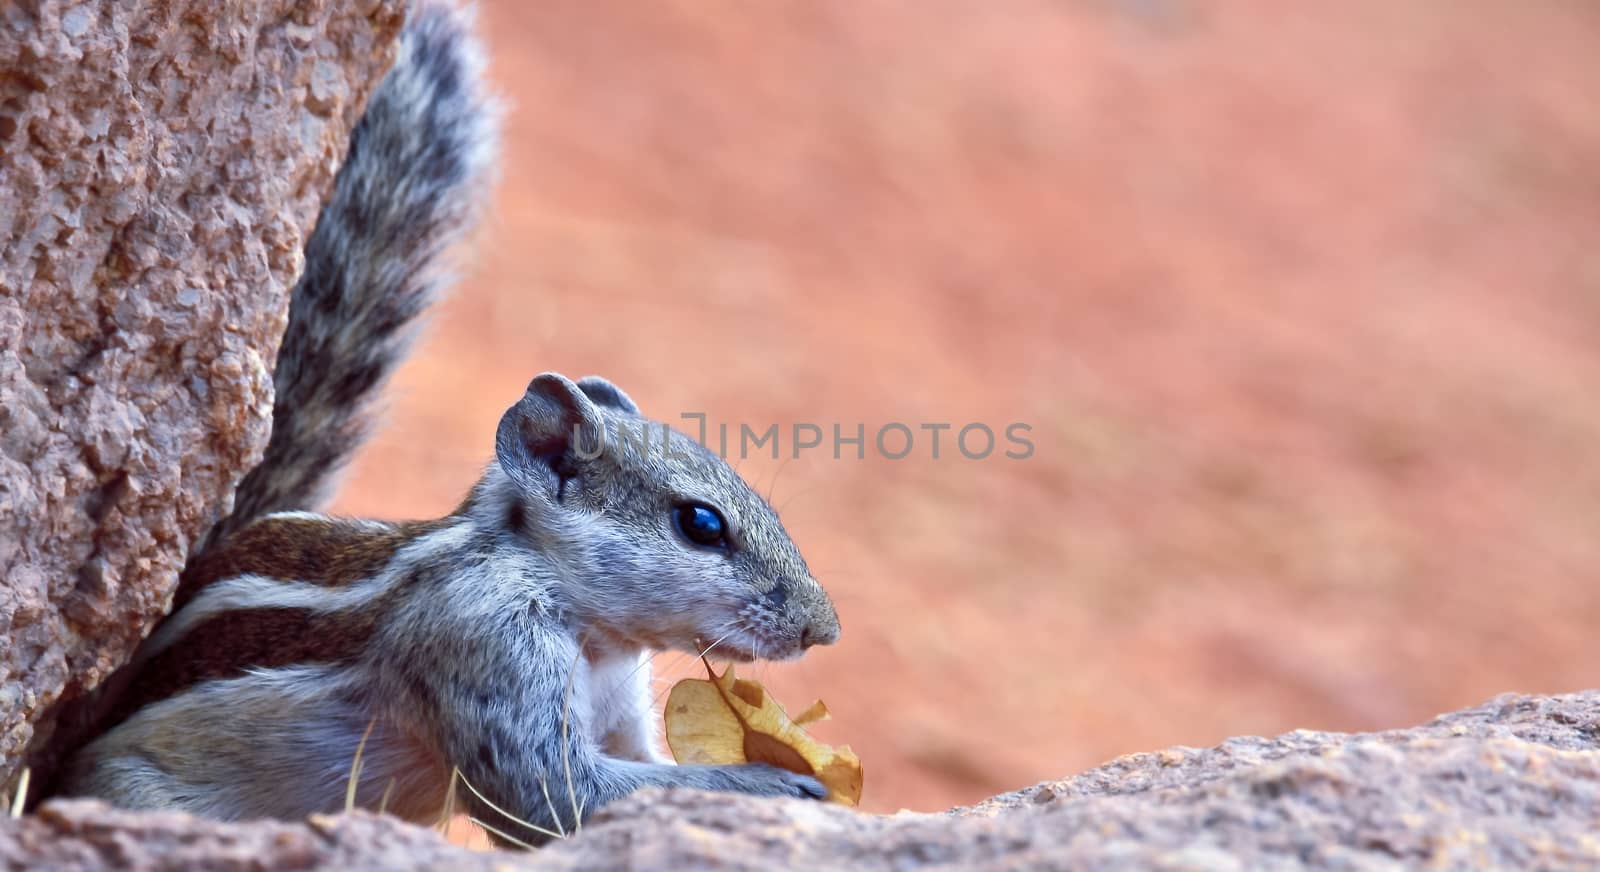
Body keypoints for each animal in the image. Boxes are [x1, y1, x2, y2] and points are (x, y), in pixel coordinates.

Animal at [53, 0, 838, 838]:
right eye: (700, 524)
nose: (823, 630)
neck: (588, 629)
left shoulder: (617, 705)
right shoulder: (483, 647)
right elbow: (554, 795)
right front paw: (777, 786)